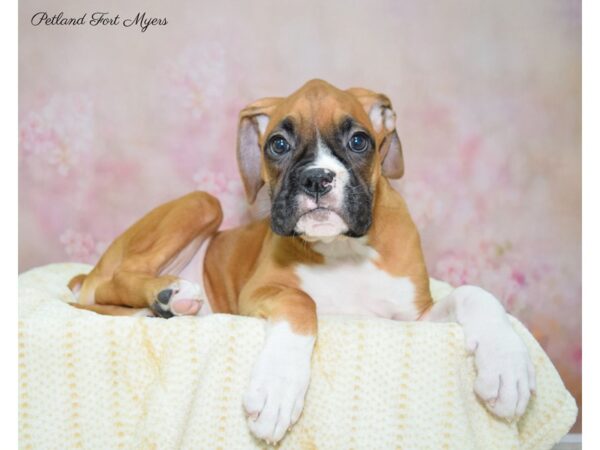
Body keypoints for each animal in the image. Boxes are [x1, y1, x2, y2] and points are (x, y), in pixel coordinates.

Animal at [69, 80, 536, 442]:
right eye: (278, 144)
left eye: (359, 140)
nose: (316, 178)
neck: (344, 250)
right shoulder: (260, 292)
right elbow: (302, 303)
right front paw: (278, 388)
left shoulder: (414, 319)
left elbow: (474, 294)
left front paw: (506, 363)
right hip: (201, 203)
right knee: (110, 284)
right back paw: (169, 294)